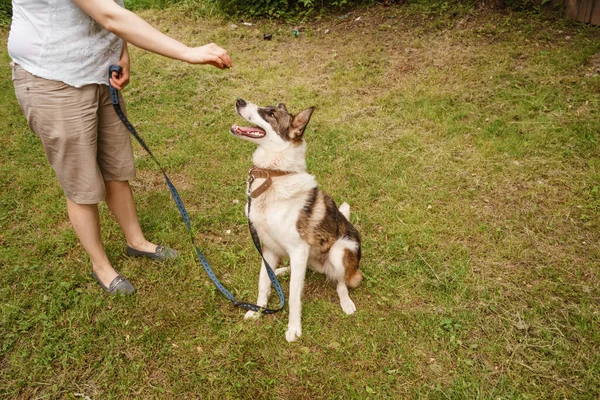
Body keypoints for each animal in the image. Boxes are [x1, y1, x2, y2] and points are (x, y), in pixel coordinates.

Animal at [230, 98, 360, 342]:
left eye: (271, 114)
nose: (239, 101)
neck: (274, 175)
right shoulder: (269, 248)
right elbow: (263, 282)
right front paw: (258, 311)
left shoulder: (298, 250)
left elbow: (292, 297)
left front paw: (294, 329)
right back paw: (282, 271)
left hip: (339, 251)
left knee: (342, 280)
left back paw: (346, 301)